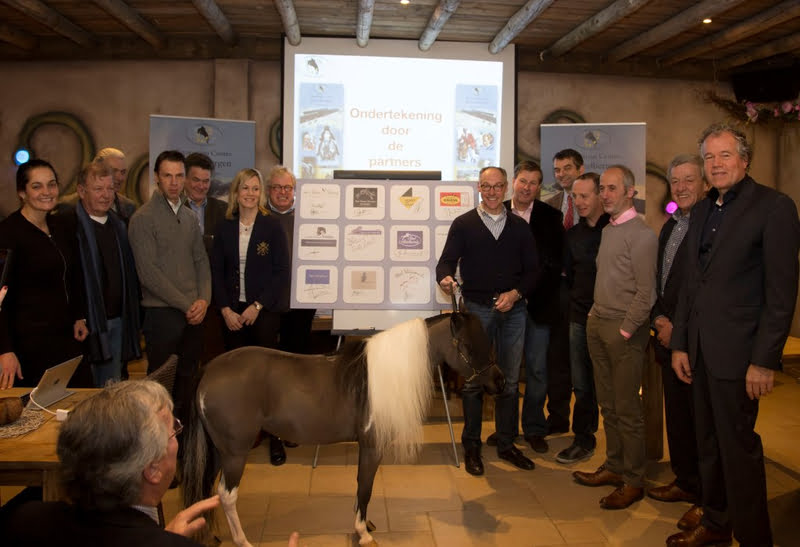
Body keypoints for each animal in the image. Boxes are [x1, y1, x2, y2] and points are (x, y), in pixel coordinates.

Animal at [184, 310, 504, 544]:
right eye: (467, 346)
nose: (499, 382)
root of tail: (209, 370)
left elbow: (361, 486)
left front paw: (365, 524)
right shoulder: (372, 447)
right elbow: (365, 487)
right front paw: (363, 533)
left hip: (218, 453)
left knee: (206, 492)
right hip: (235, 453)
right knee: (226, 495)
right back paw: (242, 541)